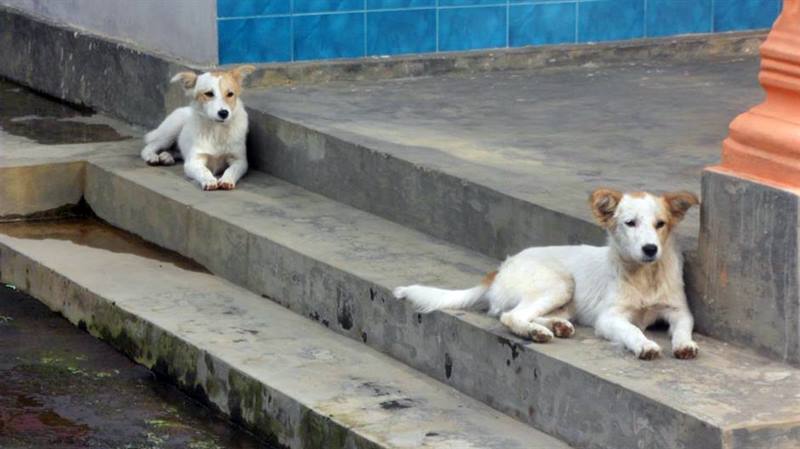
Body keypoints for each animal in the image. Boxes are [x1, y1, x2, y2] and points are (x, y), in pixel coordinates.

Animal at [394, 187, 700, 358]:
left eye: (660, 224)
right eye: (630, 223)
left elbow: (683, 329)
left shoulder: (679, 311)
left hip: (566, 298)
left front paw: (685, 345)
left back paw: (556, 325)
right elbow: (632, 330)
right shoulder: (610, 318)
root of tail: (500, 268)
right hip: (560, 284)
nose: (650, 249)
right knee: (511, 316)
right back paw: (537, 332)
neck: (646, 276)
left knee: (526, 313)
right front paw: (645, 345)